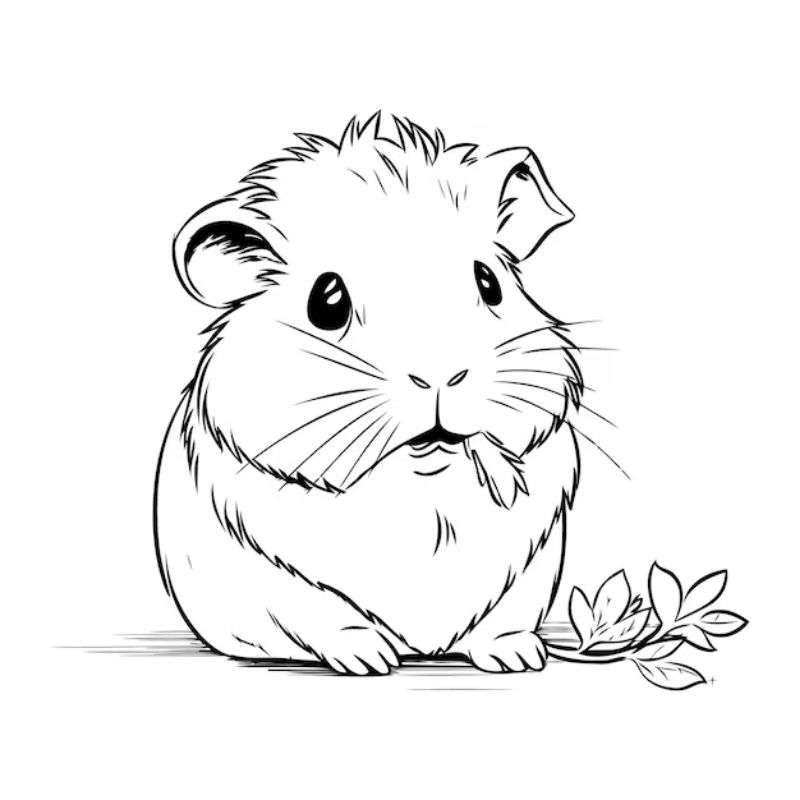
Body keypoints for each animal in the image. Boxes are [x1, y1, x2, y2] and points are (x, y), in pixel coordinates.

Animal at [154, 113, 582, 674]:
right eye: (327, 301)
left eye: (490, 282)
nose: (440, 376)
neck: (421, 484)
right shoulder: (271, 567)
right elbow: (323, 610)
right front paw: (371, 660)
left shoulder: (535, 558)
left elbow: (503, 617)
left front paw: (520, 658)